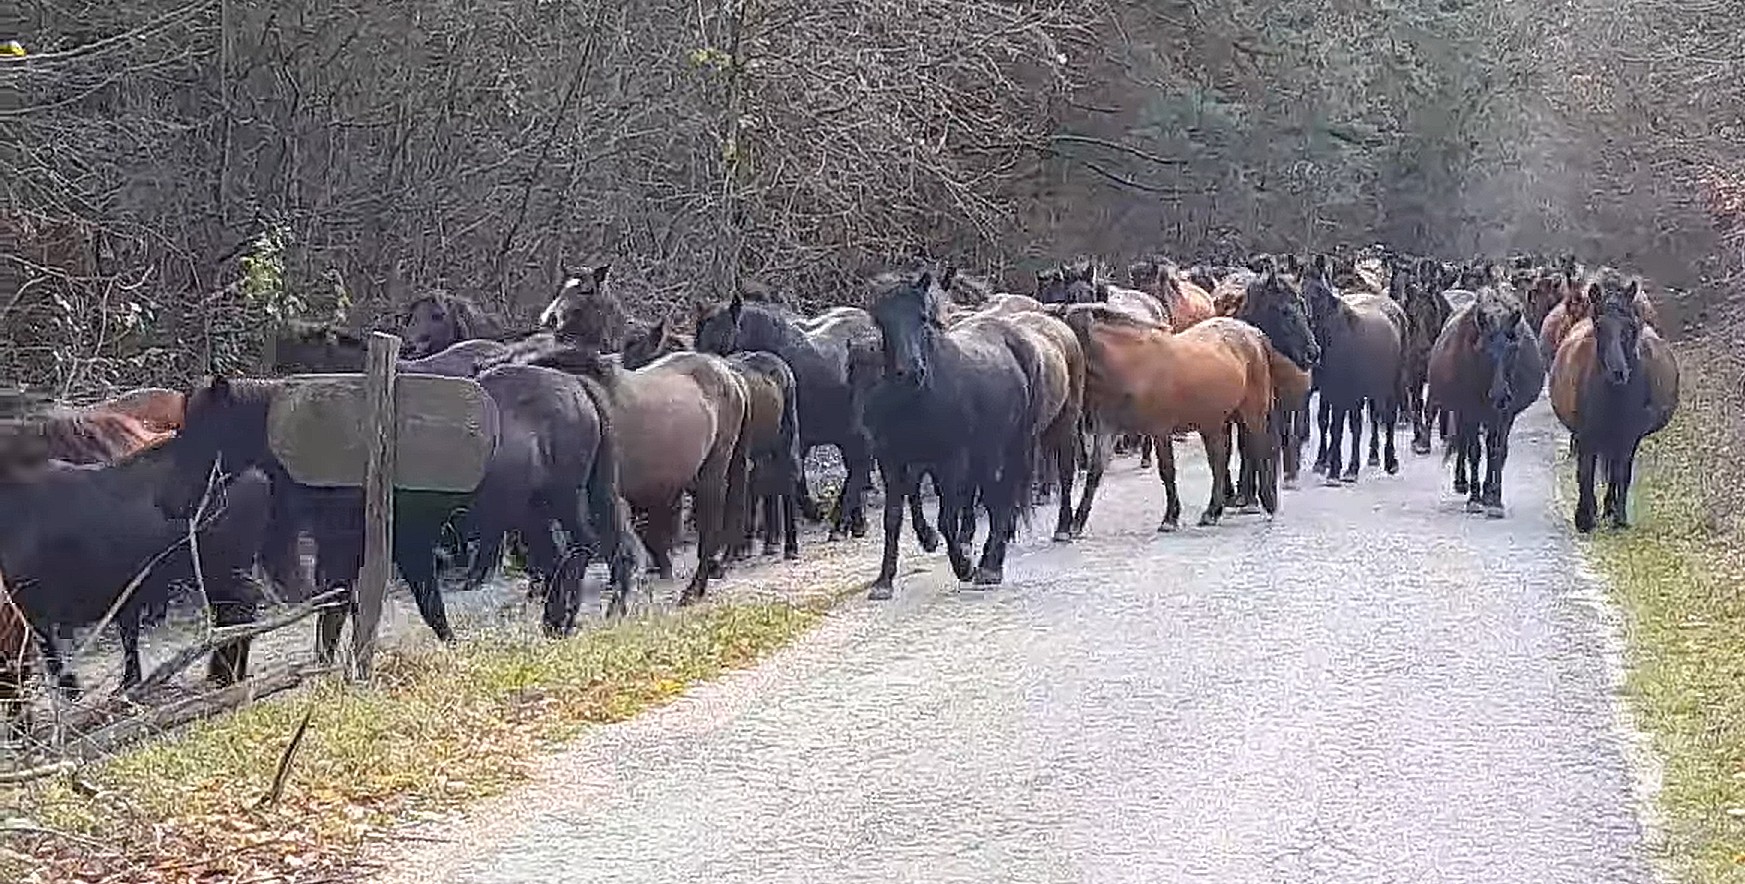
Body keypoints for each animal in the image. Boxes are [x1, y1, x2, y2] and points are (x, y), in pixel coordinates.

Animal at [691, 292, 879, 540]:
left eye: (723, 339)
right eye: (698, 340)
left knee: (859, 466)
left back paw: (841, 523)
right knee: (857, 468)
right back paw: (853, 522)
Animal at [855, 272, 1033, 603]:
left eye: (923, 318)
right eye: (882, 321)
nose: (911, 371)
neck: (916, 399)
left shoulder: (950, 461)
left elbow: (948, 519)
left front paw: (964, 565)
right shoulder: (892, 461)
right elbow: (893, 518)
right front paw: (884, 581)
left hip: (1011, 447)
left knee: (1003, 499)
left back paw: (990, 567)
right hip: (985, 452)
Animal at [1053, 305, 1277, 537]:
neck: (1134, 365)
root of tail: (1253, 333)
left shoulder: (1160, 430)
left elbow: (1167, 470)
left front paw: (1170, 518)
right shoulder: (1108, 429)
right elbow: (1094, 472)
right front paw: (1076, 524)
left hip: (1252, 413)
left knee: (1259, 450)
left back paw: (1267, 503)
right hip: (1214, 422)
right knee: (1219, 462)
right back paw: (1213, 511)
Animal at [1305, 259, 1409, 488]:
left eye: (1318, 291)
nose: (1307, 322)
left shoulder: (1344, 392)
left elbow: (1340, 428)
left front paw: (1338, 471)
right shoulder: (1329, 391)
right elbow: (1330, 424)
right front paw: (1330, 466)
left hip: (1393, 382)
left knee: (1388, 418)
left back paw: (1390, 461)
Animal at [1556, 270, 1675, 533]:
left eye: (1630, 327)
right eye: (1599, 326)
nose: (1618, 372)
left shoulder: (1629, 436)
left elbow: (1621, 474)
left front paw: (1619, 517)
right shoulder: (1586, 434)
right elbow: (1586, 472)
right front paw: (1584, 517)